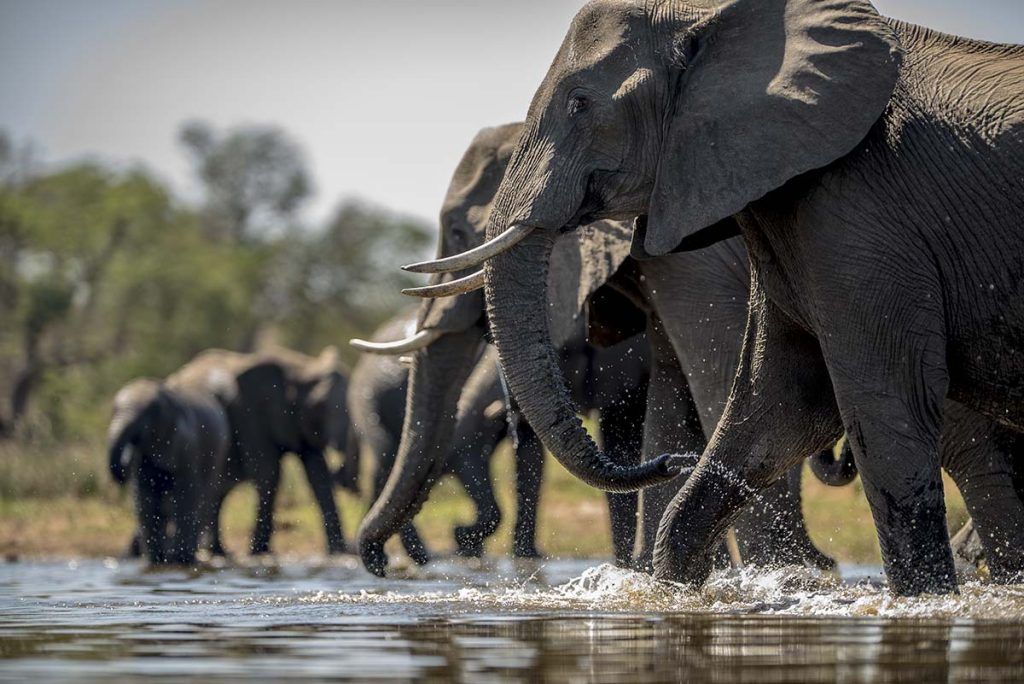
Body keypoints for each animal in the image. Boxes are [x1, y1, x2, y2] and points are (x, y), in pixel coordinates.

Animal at [108, 376, 230, 565]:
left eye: (150, 412)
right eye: (113, 410)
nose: (125, 461)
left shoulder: (187, 444)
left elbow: (185, 495)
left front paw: (180, 559)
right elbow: (145, 498)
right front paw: (156, 560)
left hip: (218, 455)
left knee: (202, 501)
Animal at [172, 346, 356, 556]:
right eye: (321, 404)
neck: (301, 369)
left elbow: (318, 474)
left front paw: (338, 552)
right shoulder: (251, 412)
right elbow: (269, 472)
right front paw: (259, 552)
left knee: (218, 491)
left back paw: (219, 552)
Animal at [359, 122, 836, 576]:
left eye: (459, 233)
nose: (380, 565)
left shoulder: (694, 265)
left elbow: (717, 384)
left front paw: (770, 574)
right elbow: (666, 398)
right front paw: (648, 574)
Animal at [417, 1, 1024, 595]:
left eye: (580, 103)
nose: (672, 463)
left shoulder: (858, 213)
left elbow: (879, 402)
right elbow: (774, 403)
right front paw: (681, 588)